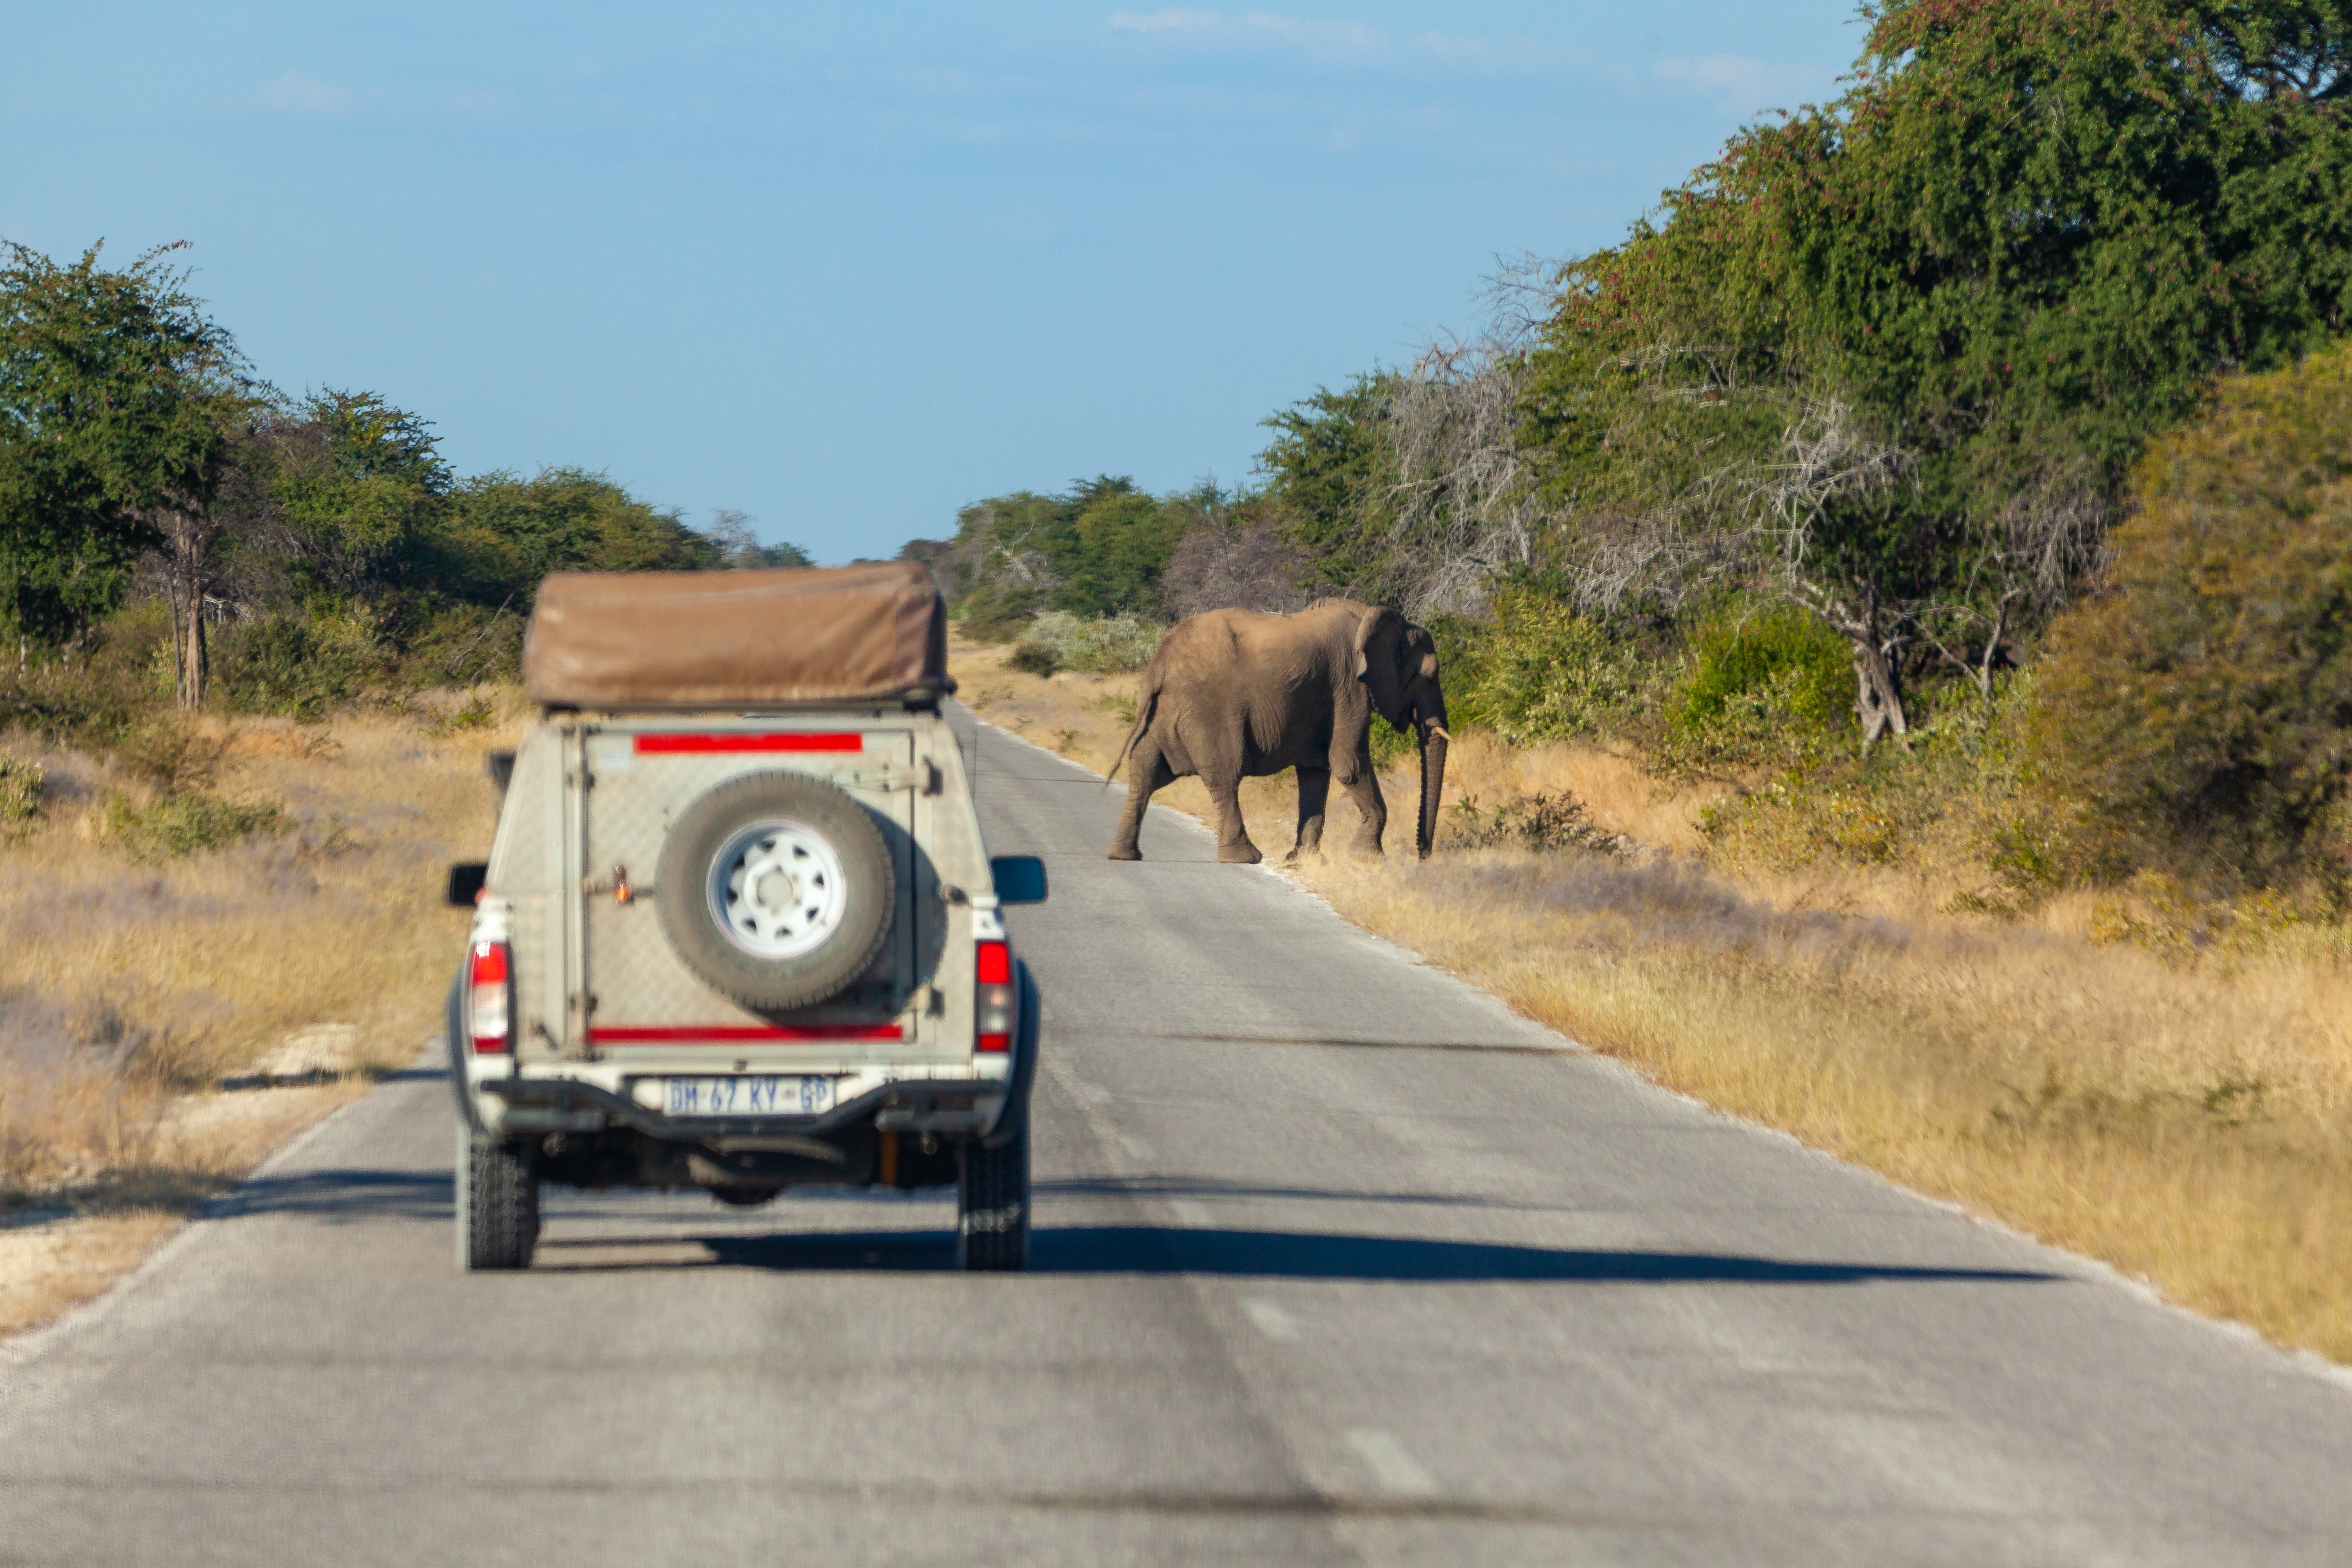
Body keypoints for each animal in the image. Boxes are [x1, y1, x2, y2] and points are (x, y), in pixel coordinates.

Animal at [1104, 598, 1450, 865]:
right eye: (1430, 677)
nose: (1424, 856)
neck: (1372, 615)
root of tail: (1160, 661)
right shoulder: (1350, 688)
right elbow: (1347, 763)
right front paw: (1369, 858)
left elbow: (1315, 772)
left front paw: (1304, 860)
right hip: (1206, 712)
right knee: (1224, 775)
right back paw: (1245, 858)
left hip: (1162, 712)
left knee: (1145, 771)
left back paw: (1124, 855)